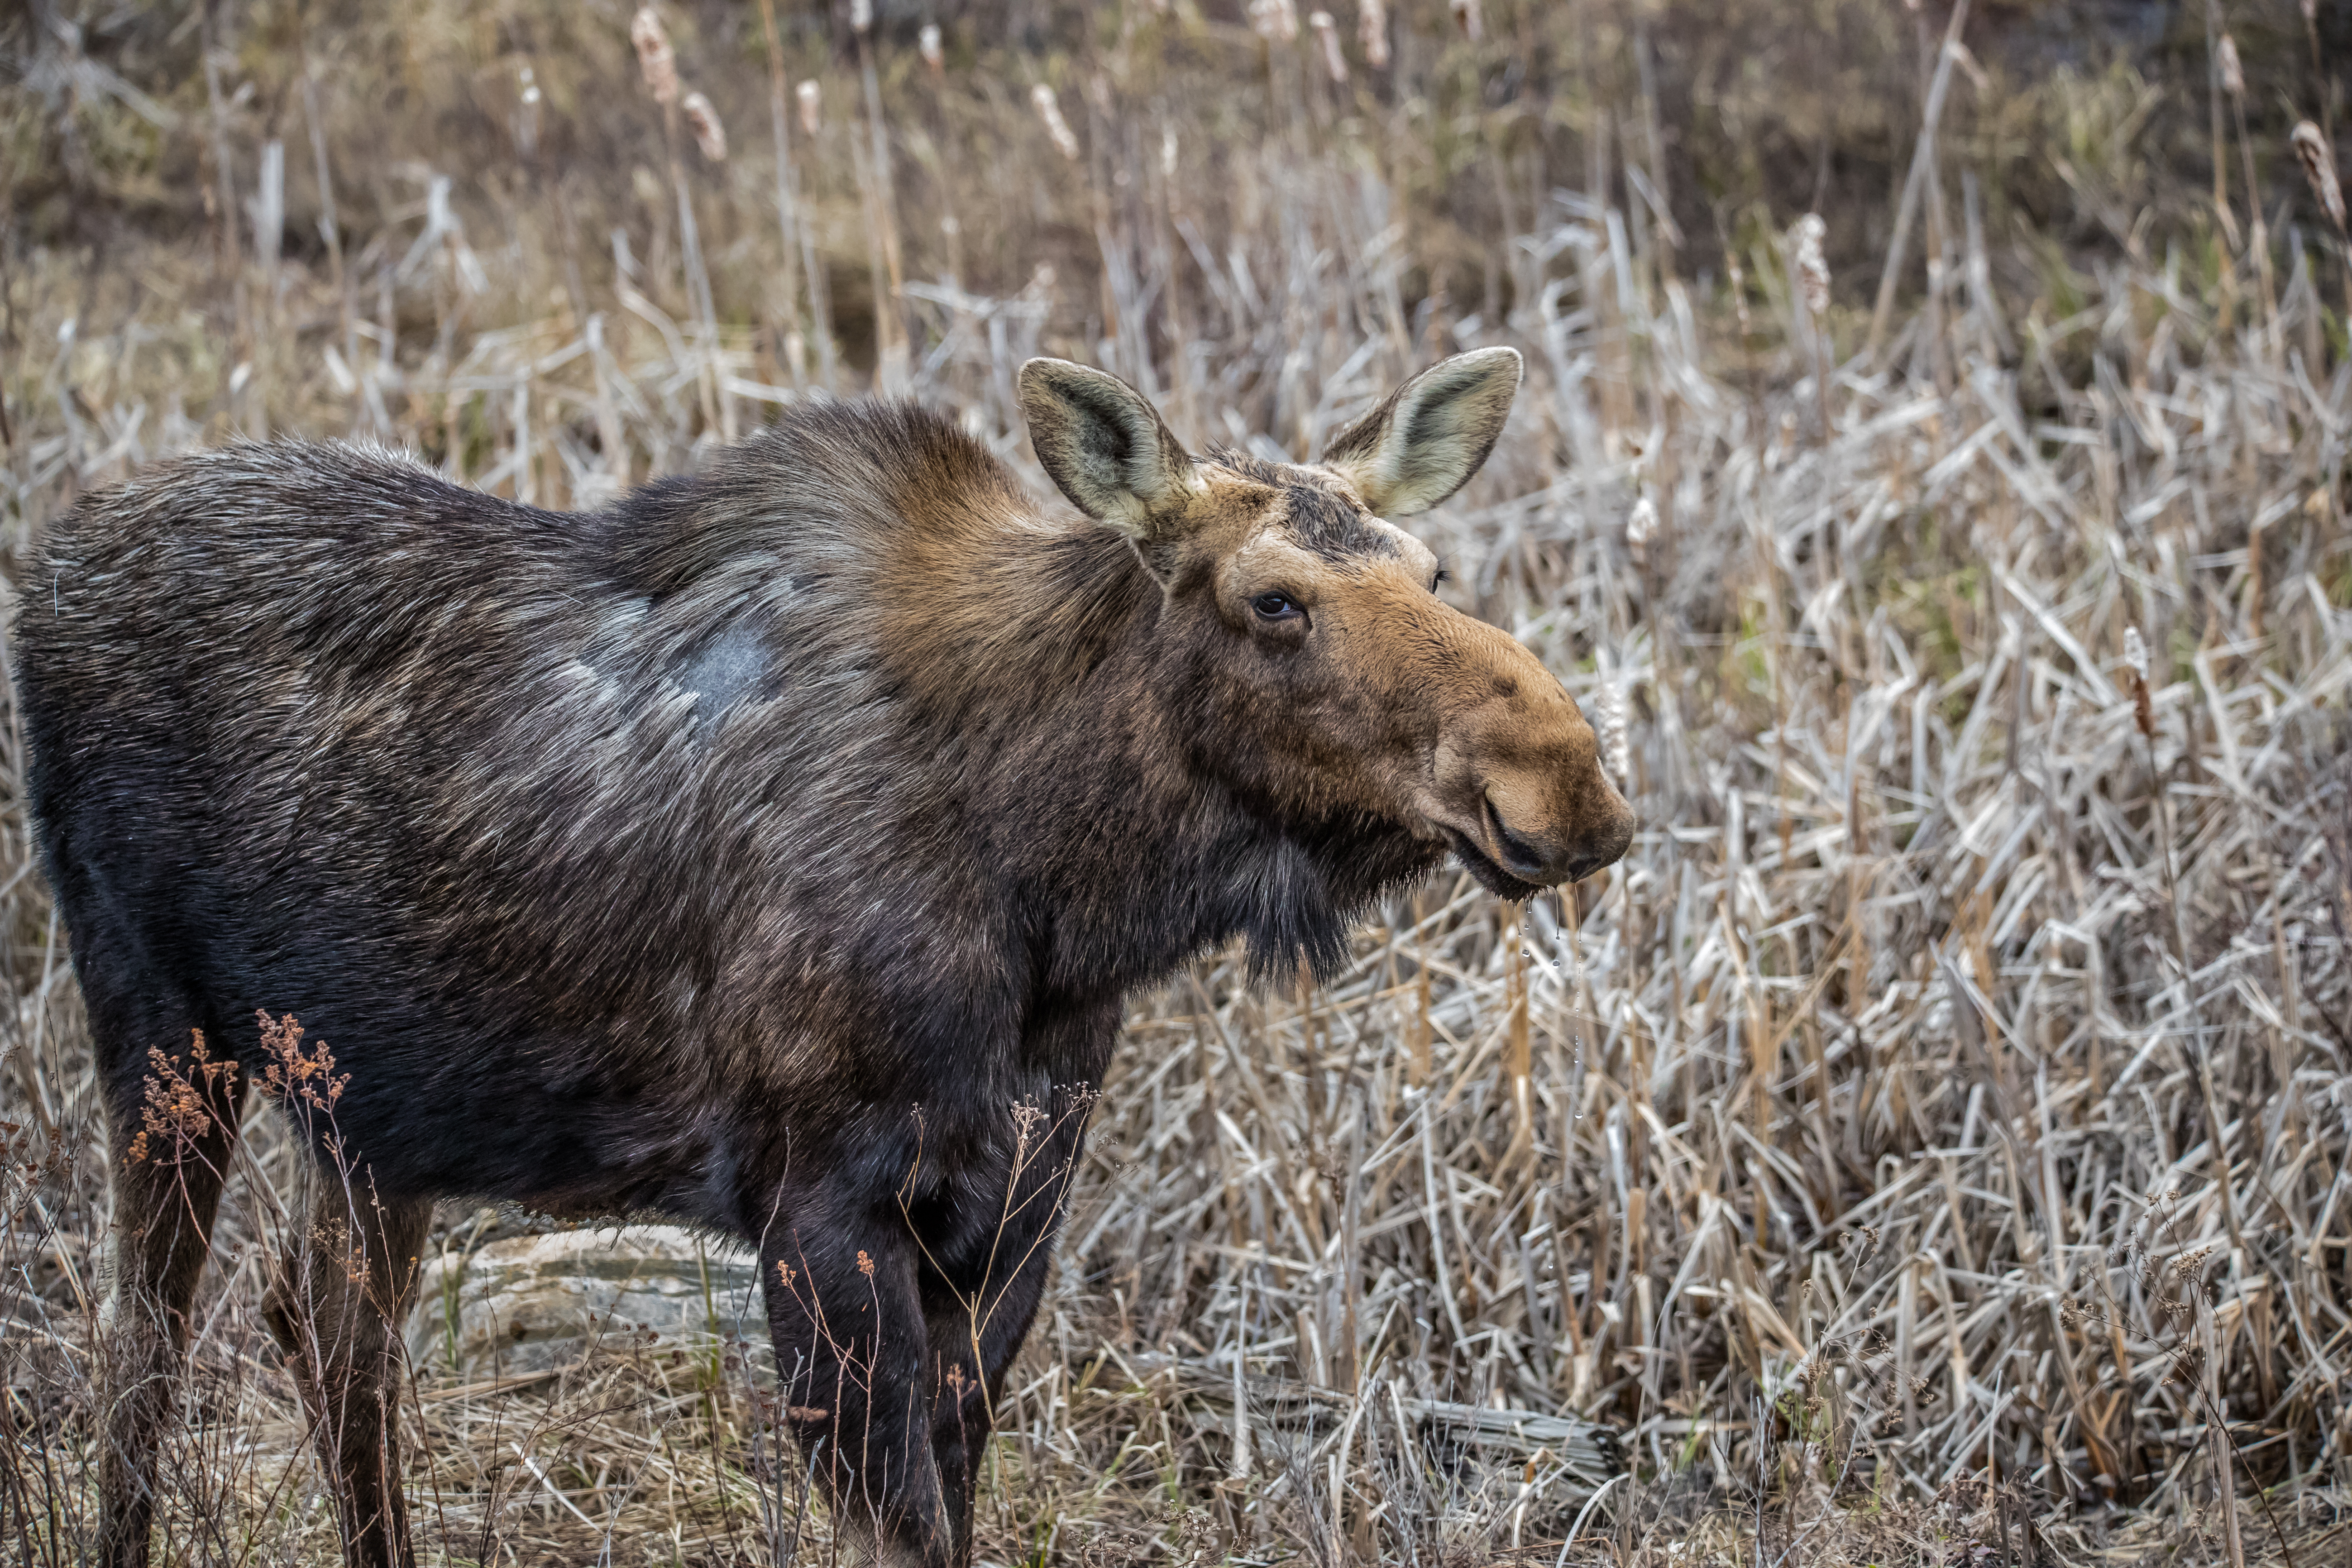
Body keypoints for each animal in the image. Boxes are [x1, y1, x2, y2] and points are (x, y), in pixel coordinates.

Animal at [23, 345, 1637, 1568]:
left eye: (1432, 563)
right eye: (1274, 599)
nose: (1564, 780)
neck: (1063, 885)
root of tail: (49, 559)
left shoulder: (1012, 1198)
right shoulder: (817, 1202)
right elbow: (905, 1527)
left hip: (371, 1110)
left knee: (329, 1334)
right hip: (156, 1028)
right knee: (143, 1350)